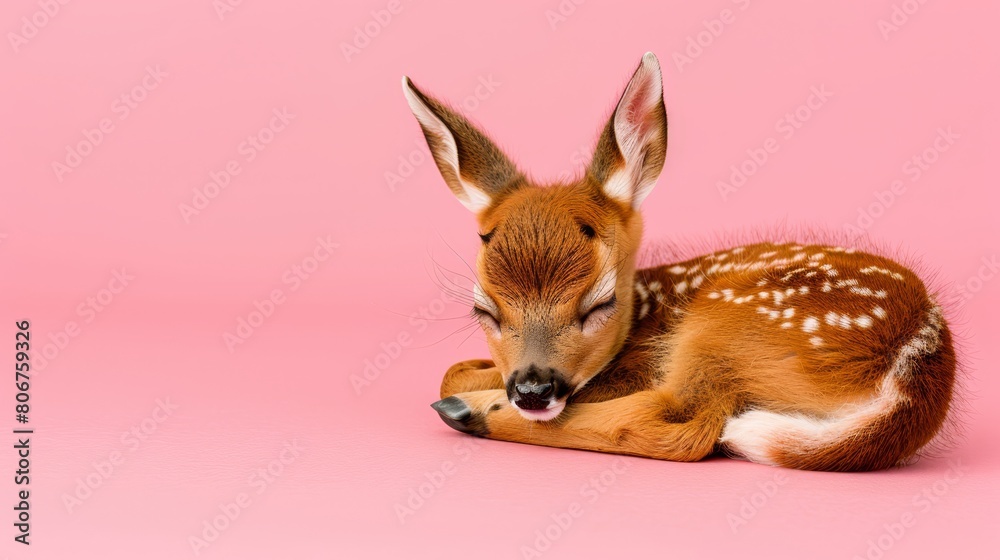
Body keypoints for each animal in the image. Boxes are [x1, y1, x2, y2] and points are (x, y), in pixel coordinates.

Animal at [401, 52, 957, 471]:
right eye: (484, 310)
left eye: (600, 304)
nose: (533, 391)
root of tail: (919, 358)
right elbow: (459, 365)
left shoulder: (633, 368)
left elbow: (455, 374)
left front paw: (469, 399)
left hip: (722, 328)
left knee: (685, 424)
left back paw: (469, 413)